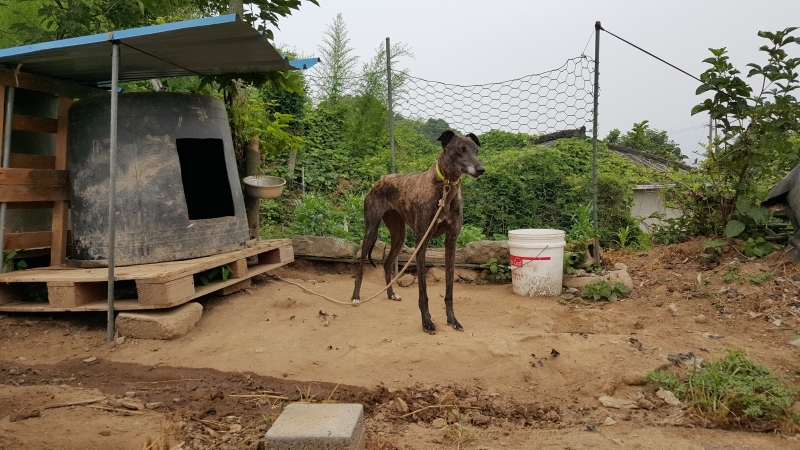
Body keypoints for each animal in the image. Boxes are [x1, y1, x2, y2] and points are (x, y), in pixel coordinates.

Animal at [351, 130, 485, 334]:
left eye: (476, 151)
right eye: (460, 150)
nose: (481, 169)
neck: (445, 188)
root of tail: (380, 180)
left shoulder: (451, 241)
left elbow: (449, 289)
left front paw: (452, 320)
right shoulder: (422, 241)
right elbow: (423, 292)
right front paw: (427, 322)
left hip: (399, 235)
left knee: (387, 265)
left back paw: (391, 294)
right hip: (371, 231)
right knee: (360, 267)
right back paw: (356, 296)